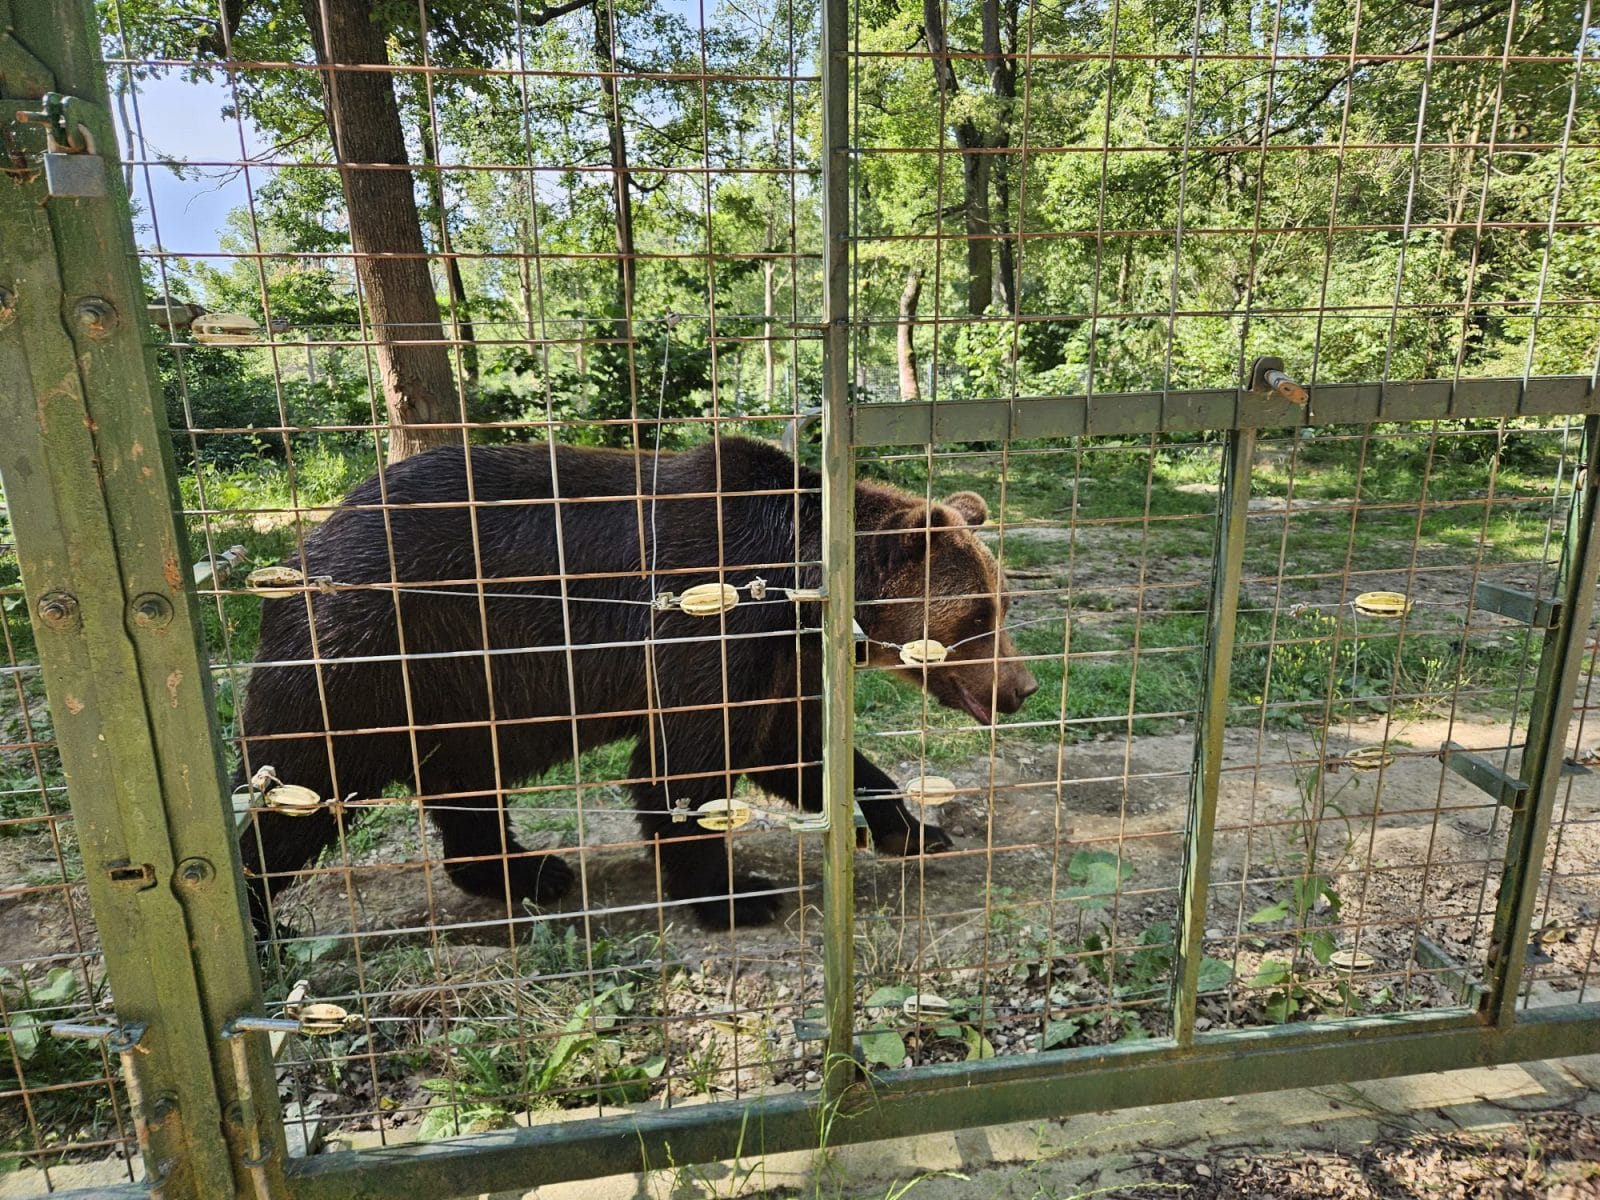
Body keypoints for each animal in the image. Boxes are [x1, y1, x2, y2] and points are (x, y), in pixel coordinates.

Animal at [236, 436, 1038, 931]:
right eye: (976, 615)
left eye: (1002, 603)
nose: (1021, 686)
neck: (804, 586)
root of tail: (306, 548)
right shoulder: (708, 618)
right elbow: (681, 766)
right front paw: (737, 896)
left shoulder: (777, 659)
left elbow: (795, 748)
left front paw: (913, 828)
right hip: (367, 652)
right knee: (299, 787)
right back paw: (264, 920)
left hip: (450, 692)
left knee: (465, 781)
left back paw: (530, 874)